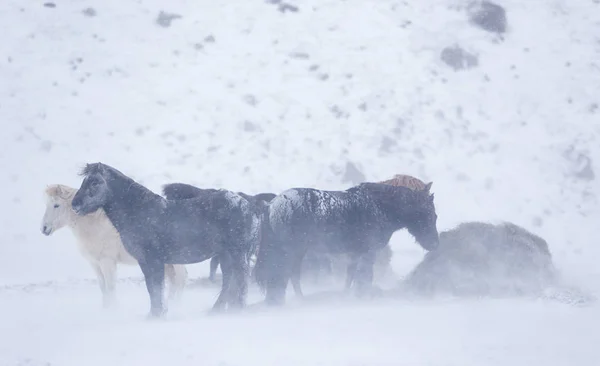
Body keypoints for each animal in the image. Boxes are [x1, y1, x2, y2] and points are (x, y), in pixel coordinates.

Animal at [41, 184, 188, 308]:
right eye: (46, 204)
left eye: (56, 205)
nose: (44, 228)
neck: (94, 226)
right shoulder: (94, 264)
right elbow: (103, 288)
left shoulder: (107, 262)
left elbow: (110, 287)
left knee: (180, 280)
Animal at [71, 163, 258, 318]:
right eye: (84, 181)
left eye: (95, 182)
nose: (75, 204)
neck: (138, 211)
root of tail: (249, 207)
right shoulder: (145, 261)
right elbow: (152, 288)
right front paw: (155, 313)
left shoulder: (153, 260)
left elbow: (156, 288)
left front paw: (158, 314)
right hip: (226, 255)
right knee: (229, 281)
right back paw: (218, 310)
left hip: (237, 253)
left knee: (241, 280)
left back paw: (237, 310)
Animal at [254, 182, 440, 304]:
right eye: (428, 214)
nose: (434, 244)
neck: (381, 207)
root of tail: (270, 206)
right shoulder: (368, 253)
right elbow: (364, 277)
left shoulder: (355, 255)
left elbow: (350, 278)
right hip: (290, 252)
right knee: (283, 276)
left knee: (290, 276)